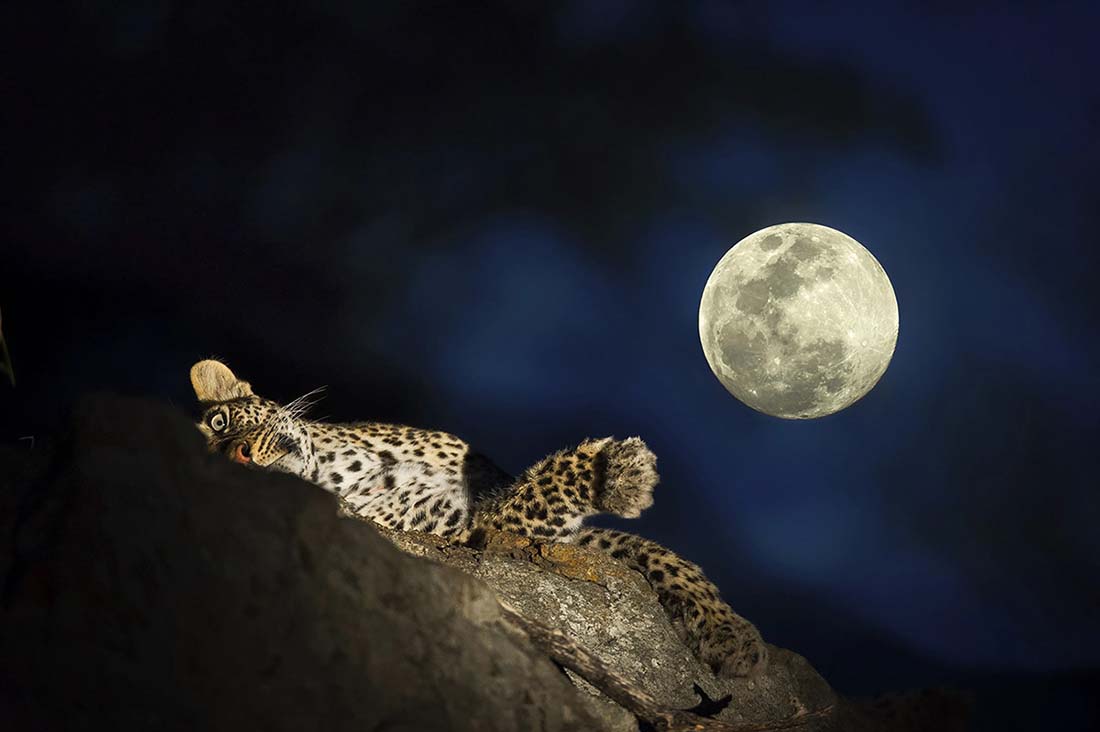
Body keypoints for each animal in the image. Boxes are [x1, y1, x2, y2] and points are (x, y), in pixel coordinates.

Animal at [189, 356, 770, 678]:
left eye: (222, 422)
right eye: (215, 440)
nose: (240, 458)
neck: (337, 465)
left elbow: (667, 558)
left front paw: (731, 635)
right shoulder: (474, 529)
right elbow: (539, 492)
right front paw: (613, 470)